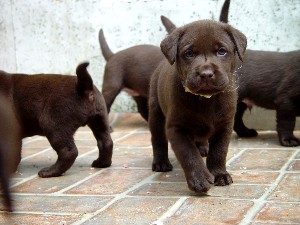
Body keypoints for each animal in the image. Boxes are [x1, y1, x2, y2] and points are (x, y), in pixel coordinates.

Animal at [149, 20, 247, 193]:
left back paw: (203, 148)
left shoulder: (225, 125)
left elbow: (219, 152)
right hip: (155, 112)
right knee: (158, 139)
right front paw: (199, 180)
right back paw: (161, 163)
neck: (206, 99)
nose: (206, 74)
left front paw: (219, 174)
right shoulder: (176, 128)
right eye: (189, 53)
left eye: (222, 51)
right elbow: (189, 154)